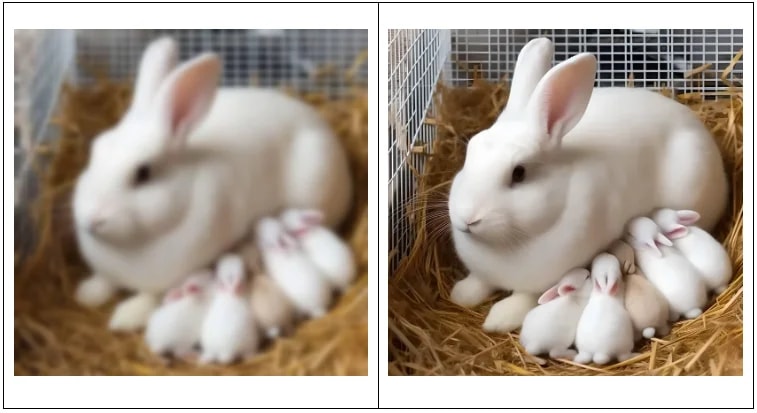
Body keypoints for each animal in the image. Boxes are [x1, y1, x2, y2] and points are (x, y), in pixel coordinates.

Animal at [72, 35, 352, 332]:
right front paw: (87, 294)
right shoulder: (108, 270)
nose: (91, 219)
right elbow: (104, 280)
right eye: (95, 150)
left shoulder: (174, 276)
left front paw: (124, 316)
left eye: (143, 173)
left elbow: (150, 297)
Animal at [442, 35, 728, 334]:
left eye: (518, 173)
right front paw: (461, 294)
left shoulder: (545, 279)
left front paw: (498, 318)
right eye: (470, 152)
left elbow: (526, 298)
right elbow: (478, 281)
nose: (466, 218)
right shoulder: (482, 272)